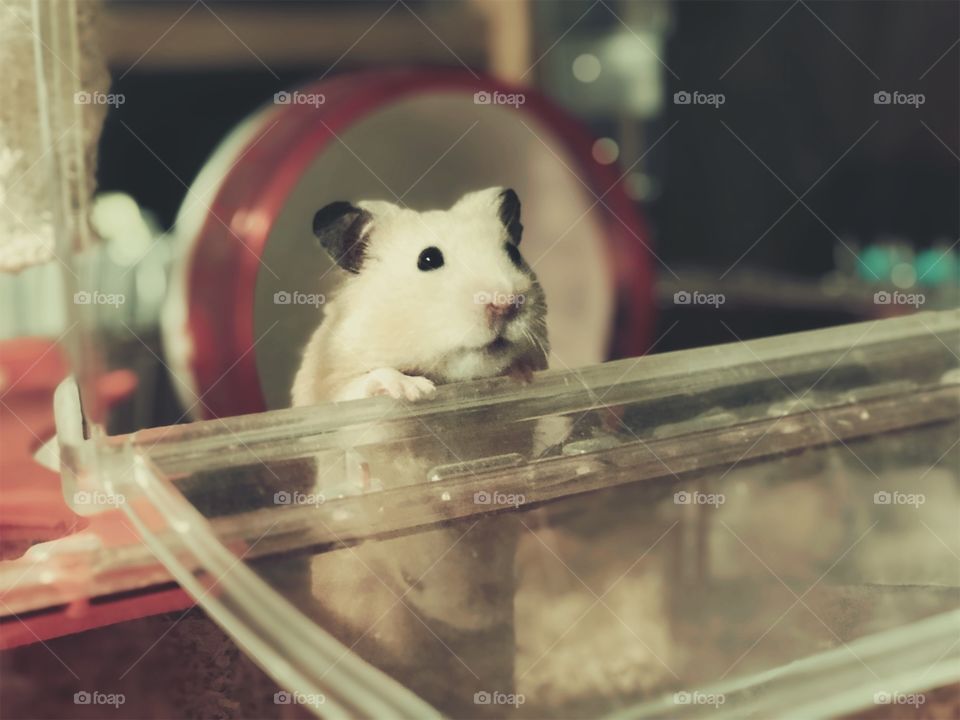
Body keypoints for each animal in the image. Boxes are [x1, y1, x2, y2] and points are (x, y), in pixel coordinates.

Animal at [291, 186, 549, 406]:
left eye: (513, 253)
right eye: (429, 259)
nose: (505, 305)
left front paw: (523, 375)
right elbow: (365, 383)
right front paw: (415, 390)